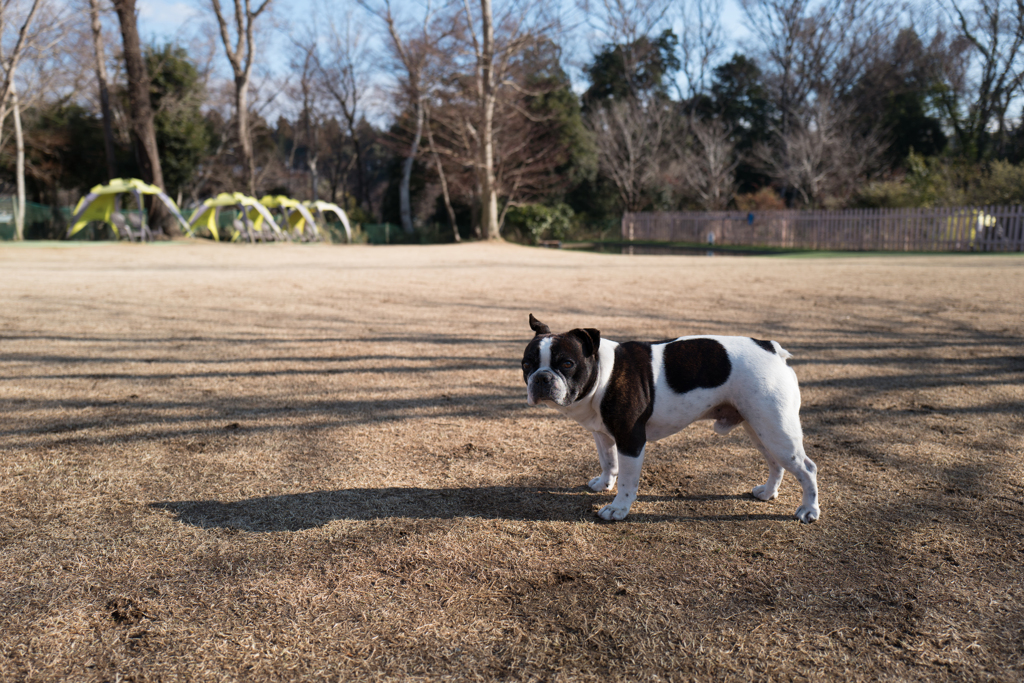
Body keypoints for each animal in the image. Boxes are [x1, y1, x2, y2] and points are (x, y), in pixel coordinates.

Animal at [524, 315, 819, 524]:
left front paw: (618, 509)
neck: (604, 372)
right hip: (760, 428)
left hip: (777, 430)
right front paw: (604, 484)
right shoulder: (603, 435)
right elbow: (608, 462)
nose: (541, 378)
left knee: (807, 468)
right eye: (527, 364)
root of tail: (771, 348)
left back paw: (808, 510)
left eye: (567, 364)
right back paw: (768, 493)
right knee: (775, 462)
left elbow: (627, 480)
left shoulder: (630, 440)